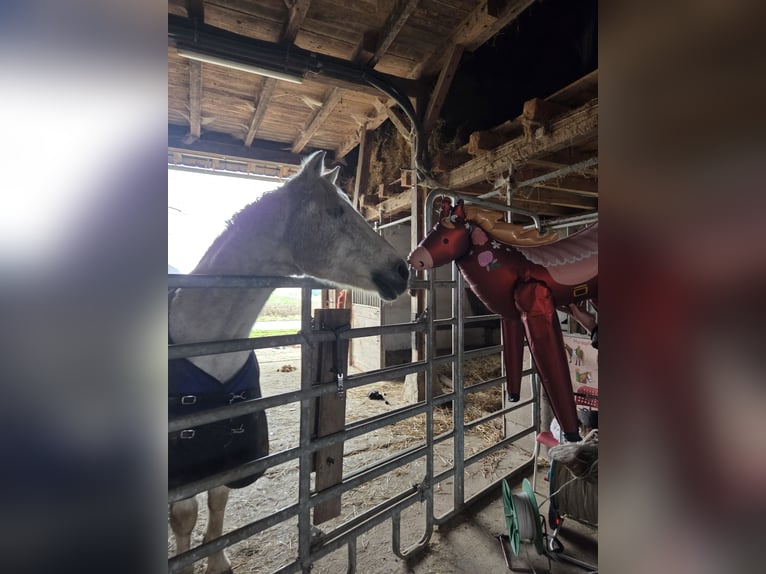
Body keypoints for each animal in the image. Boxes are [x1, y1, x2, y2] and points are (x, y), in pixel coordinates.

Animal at [168, 151, 409, 574]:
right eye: (336, 211)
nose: (404, 270)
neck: (208, 351)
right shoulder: (182, 473)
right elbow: (185, 518)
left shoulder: (227, 459)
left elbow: (217, 501)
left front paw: (218, 562)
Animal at [407, 198, 597, 443]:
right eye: (431, 232)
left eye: (446, 239)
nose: (414, 258)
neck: (509, 265)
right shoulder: (510, 317)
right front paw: (513, 397)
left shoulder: (538, 310)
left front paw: (572, 434)